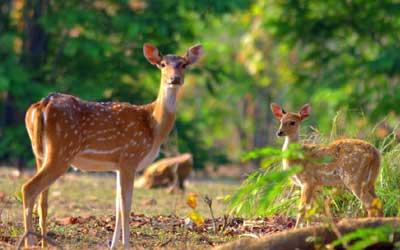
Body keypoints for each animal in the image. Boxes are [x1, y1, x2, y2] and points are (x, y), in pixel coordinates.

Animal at [22, 43, 203, 248]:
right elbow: (126, 204)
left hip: (40, 152)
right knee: (28, 189)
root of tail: (41, 105)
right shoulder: (130, 157)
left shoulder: (118, 165)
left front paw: (114, 244)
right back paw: (28, 243)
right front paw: (126, 245)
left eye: (184, 64)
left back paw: (42, 243)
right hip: (62, 150)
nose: (174, 79)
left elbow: (117, 204)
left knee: (42, 200)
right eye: (163, 64)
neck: (153, 125)